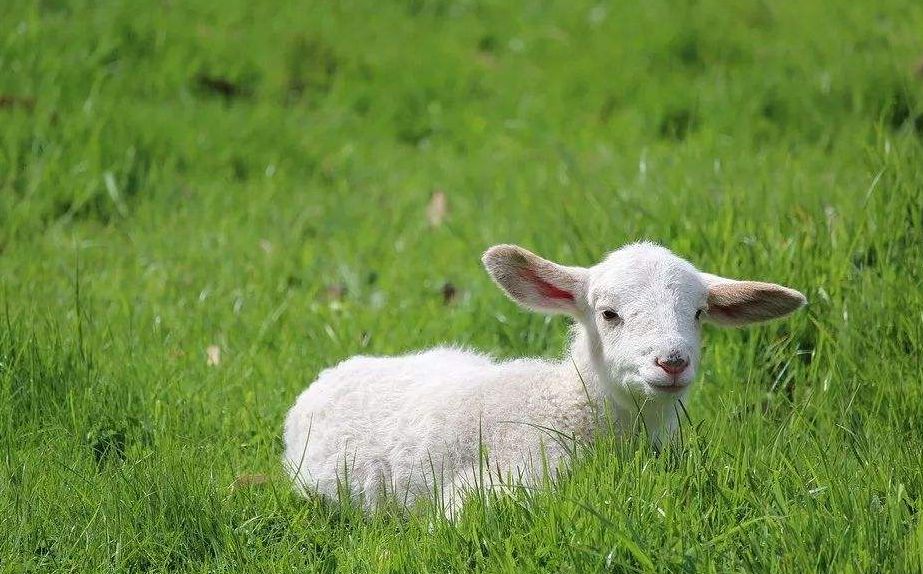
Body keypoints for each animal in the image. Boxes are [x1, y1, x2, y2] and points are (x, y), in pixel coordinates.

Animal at [283, 242, 806, 516]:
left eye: (699, 313)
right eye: (609, 313)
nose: (672, 362)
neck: (568, 407)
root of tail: (331, 373)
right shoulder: (495, 482)